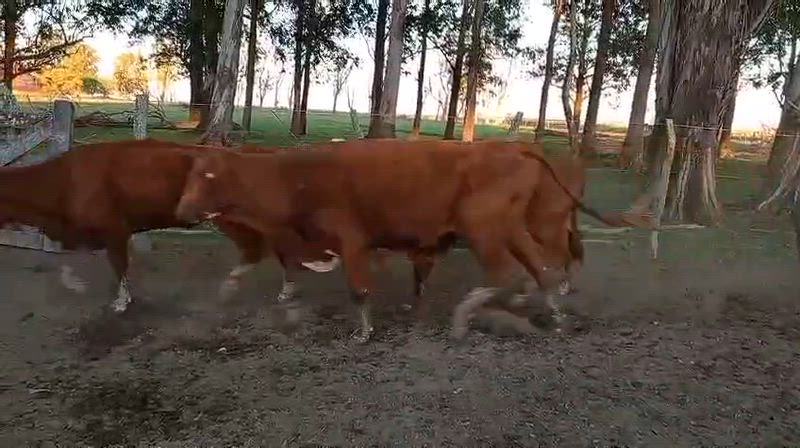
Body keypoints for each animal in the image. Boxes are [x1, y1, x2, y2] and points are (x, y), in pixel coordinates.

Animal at [174, 139, 648, 342]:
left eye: (209, 175)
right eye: (190, 174)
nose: (181, 211)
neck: (298, 178)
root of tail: (516, 148)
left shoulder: (352, 242)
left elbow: (359, 289)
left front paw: (364, 332)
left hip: (484, 227)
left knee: (508, 273)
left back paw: (463, 318)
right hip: (512, 228)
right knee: (540, 268)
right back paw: (556, 316)